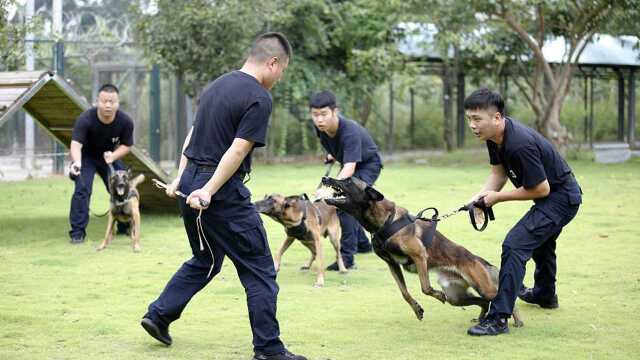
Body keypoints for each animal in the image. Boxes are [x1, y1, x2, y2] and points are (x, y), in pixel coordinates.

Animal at [322, 176, 524, 328]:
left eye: (348, 180)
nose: (325, 178)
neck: (385, 221)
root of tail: (478, 260)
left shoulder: (419, 256)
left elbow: (425, 287)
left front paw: (436, 295)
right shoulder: (392, 264)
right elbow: (404, 293)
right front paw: (417, 309)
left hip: (482, 287)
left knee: (501, 297)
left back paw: (514, 321)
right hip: (456, 297)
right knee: (483, 301)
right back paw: (482, 318)